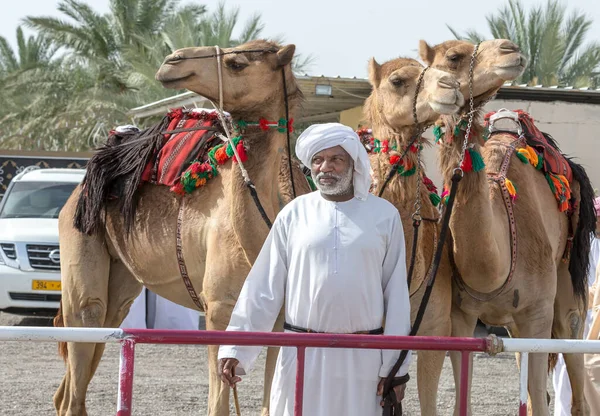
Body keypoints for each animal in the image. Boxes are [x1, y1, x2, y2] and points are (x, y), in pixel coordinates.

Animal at [52, 40, 314, 416]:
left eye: (236, 63)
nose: (172, 61)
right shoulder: (218, 309)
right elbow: (218, 405)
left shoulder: (280, 320)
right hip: (80, 238)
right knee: (87, 318)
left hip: (121, 283)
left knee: (82, 366)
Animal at [420, 38, 596, 412]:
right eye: (453, 57)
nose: (510, 49)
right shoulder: (460, 317)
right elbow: (463, 398)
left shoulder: (538, 314)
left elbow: (541, 400)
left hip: (566, 282)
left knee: (571, 340)